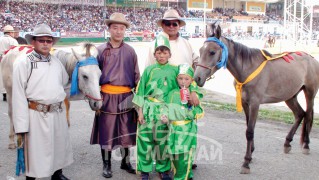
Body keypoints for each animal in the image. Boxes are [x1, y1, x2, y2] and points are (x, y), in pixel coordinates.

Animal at [194, 21, 319, 174]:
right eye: (200, 50)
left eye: (212, 52)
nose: (197, 78)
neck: (248, 69)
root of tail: (311, 58)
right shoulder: (245, 103)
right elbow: (248, 127)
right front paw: (251, 153)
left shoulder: (255, 104)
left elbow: (250, 131)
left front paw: (246, 162)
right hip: (290, 96)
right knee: (300, 114)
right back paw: (287, 142)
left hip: (310, 94)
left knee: (308, 116)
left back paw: (306, 145)